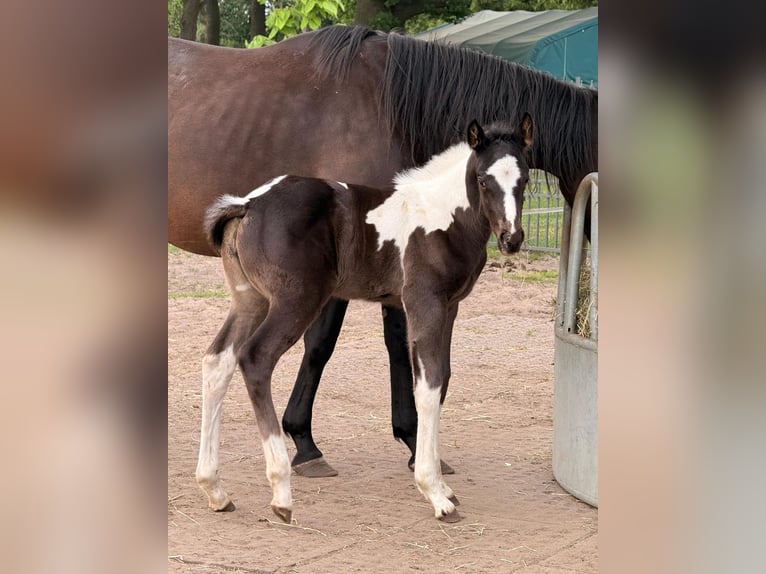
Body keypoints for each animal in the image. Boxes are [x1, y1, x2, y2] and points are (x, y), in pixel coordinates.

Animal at [198, 116, 533, 523]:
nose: (512, 239)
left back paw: (215, 490)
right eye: (483, 180)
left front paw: (442, 484)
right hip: (295, 300)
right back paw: (281, 494)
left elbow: (443, 380)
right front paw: (435, 492)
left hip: (251, 300)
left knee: (218, 361)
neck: (442, 216)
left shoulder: (450, 307)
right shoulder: (424, 302)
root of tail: (247, 204)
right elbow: (429, 384)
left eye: (525, 179)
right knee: (255, 358)